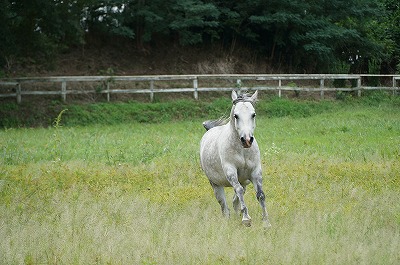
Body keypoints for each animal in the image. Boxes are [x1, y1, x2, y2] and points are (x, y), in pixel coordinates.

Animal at [200, 89, 272, 226]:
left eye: (253, 114)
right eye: (236, 116)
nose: (247, 140)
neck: (242, 151)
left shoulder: (255, 172)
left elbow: (260, 194)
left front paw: (266, 222)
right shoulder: (231, 171)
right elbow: (238, 190)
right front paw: (246, 219)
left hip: (244, 181)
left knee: (235, 201)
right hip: (215, 184)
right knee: (224, 207)